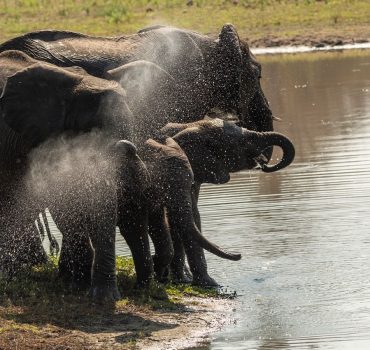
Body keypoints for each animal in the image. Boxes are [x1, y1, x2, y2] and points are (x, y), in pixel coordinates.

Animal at [141, 117, 294, 288]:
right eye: (240, 142)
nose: (264, 164)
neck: (191, 125)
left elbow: (191, 217)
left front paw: (193, 281)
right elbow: (184, 218)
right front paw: (208, 284)